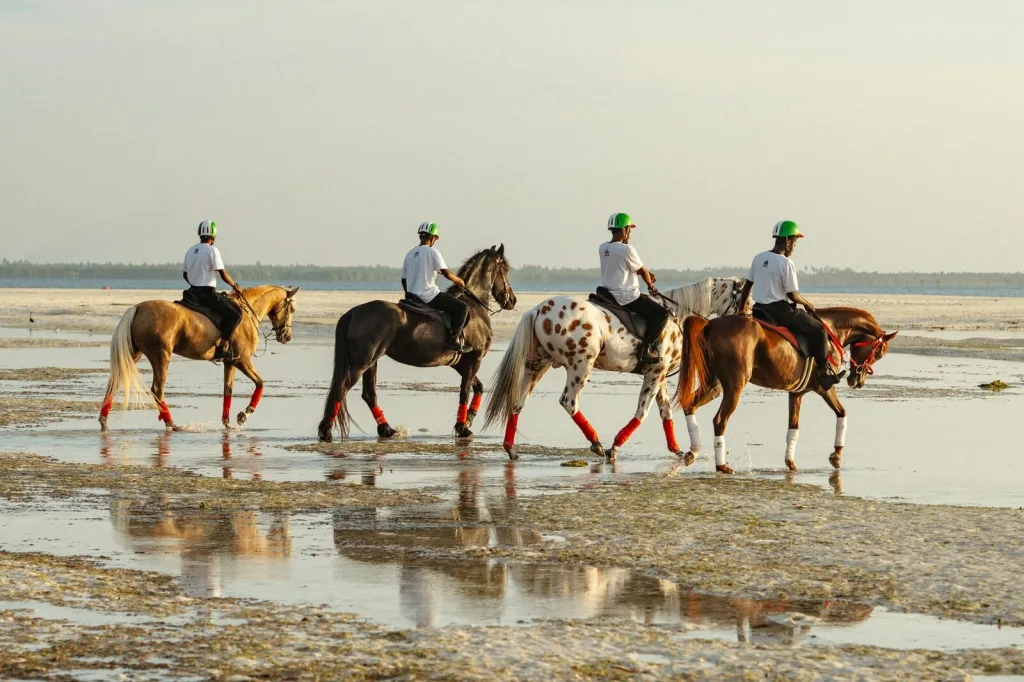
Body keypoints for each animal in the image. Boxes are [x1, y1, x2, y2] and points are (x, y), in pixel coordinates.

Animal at [98, 285, 299, 431]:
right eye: (292, 309)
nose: (287, 336)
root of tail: (137, 308)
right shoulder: (242, 360)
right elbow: (260, 383)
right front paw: (244, 414)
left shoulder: (230, 362)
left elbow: (228, 390)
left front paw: (227, 423)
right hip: (161, 356)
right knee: (157, 389)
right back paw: (171, 423)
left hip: (135, 353)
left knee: (114, 382)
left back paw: (104, 420)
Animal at [317, 245, 516, 442]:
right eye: (504, 270)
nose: (512, 300)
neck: (474, 307)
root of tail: (353, 312)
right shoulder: (474, 360)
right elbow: (465, 393)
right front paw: (462, 427)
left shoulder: (461, 363)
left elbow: (478, 389)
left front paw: (468, 420)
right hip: (362, 363)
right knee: (341, 389)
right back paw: (326, 431)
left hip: (371, 362)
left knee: (368, 394)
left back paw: (386, 429)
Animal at [483, 277, 749, 460]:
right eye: (745, 300)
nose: (745, 322)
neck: (678, 316)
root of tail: (538, 309)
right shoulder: (655, 373)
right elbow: (643, 411)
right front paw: (615, 447)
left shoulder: (660, 375)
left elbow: (665, 412)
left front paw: (677, 449)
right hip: (581, 364)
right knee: (569, 401)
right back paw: (597, 444)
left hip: (538, 365)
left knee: (518, 401)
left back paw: (510, 449)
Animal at [675, 307, 897, 473]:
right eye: (879, 353)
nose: (857, 381)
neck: (833, 331)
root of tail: (712, 324)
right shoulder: (824, 388)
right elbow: (842, 413)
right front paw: (836, 455)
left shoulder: (796, 393)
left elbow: (793, 427)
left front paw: (790, 463)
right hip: (735, 386)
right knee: (720, 420)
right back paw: (721, 466)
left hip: (714, 386)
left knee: (689, 405)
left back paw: (693, 452)